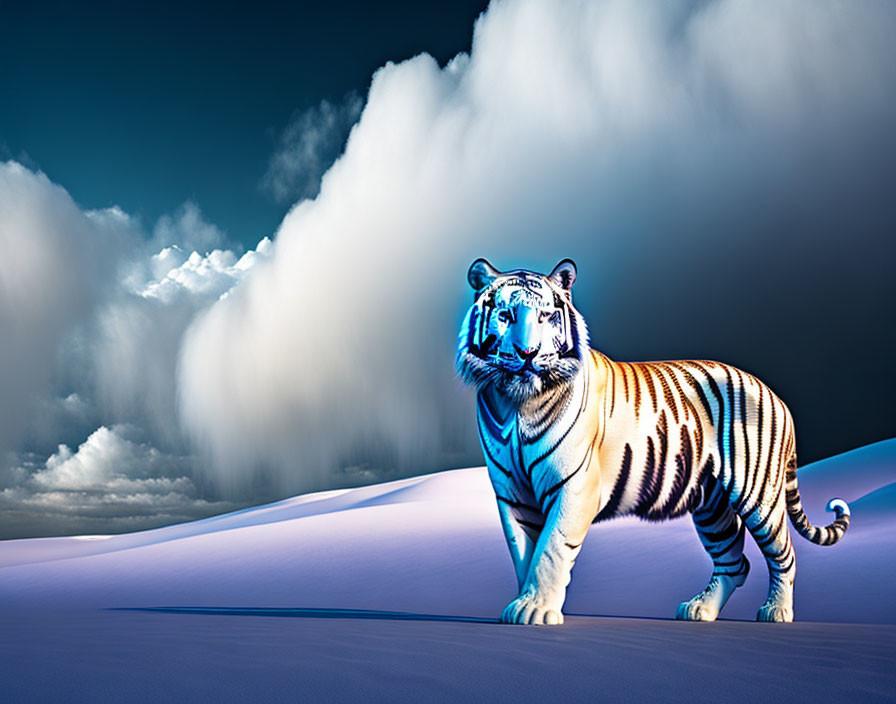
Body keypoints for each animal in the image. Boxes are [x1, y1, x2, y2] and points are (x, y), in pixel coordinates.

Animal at [456, 258, 848, 628]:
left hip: (757, 492)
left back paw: (776, 611)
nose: (528, 353)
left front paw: (536, 609)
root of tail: (773, 394)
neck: (517, 401)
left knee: (784, 555)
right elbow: (524, 551)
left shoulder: (575, 486)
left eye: (547, 316)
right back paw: (700, 609)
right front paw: (527, 602)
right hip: (711, 504)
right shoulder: (513, 493)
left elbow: (551, 549)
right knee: (734, 561)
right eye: (505, 315)